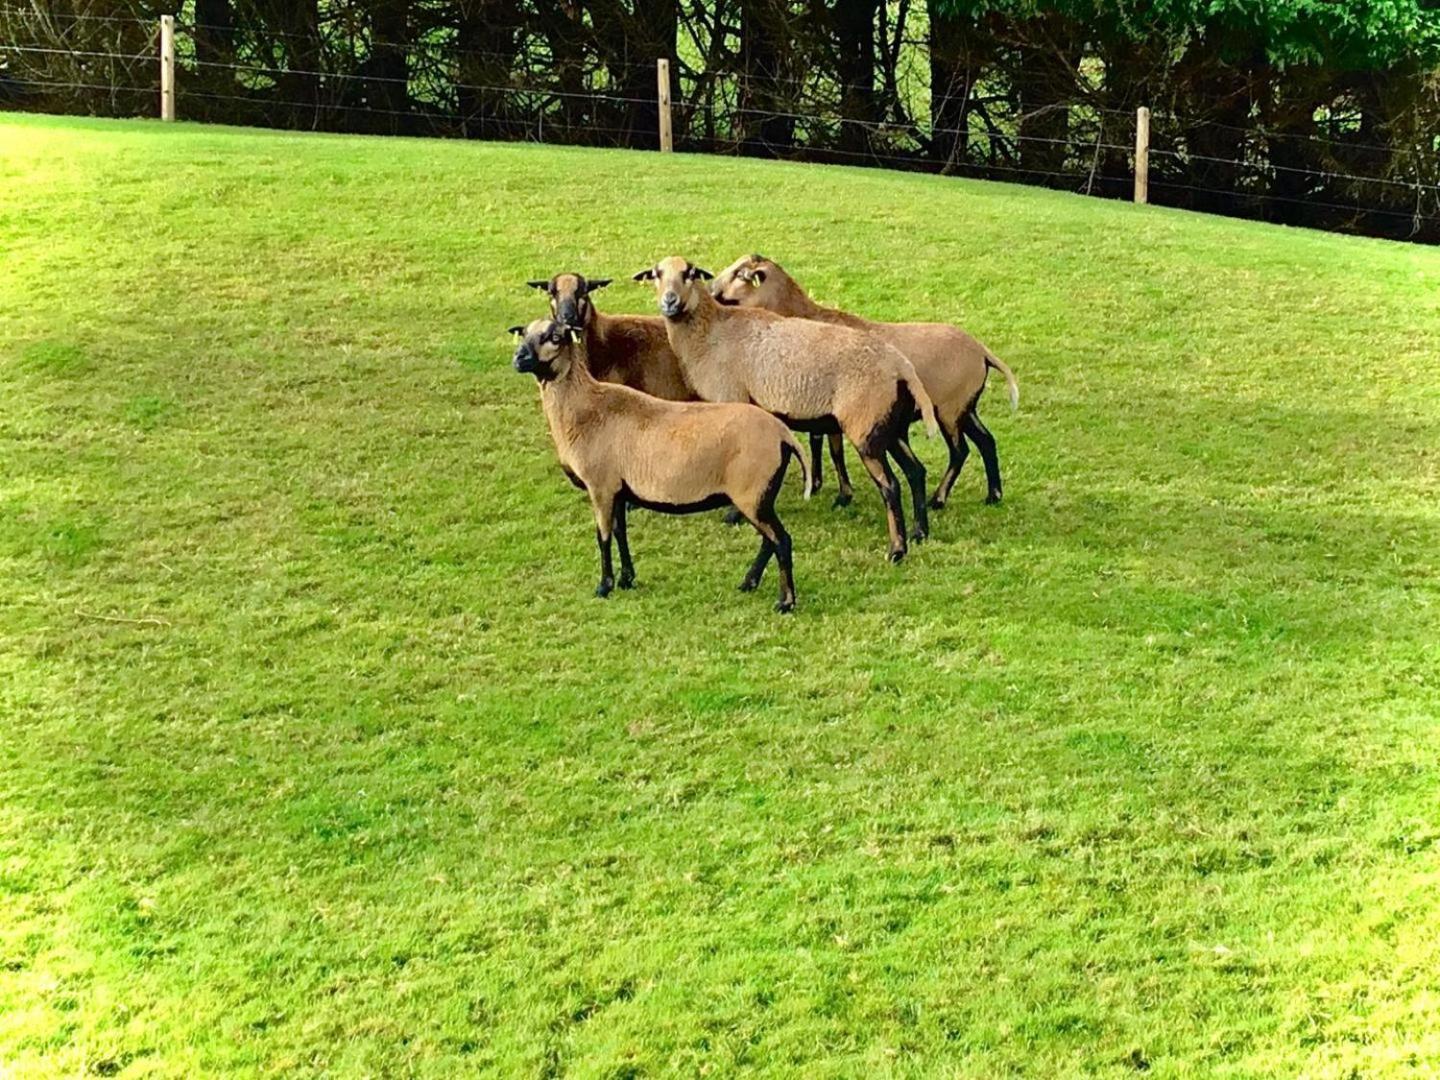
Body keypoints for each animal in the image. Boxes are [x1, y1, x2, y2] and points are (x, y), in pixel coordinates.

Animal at [509, 316, 812, 613]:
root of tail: (782, 434)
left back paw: (785, 602)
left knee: (781, 541)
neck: (583, 408)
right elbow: (620, 532)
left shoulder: (600, 486)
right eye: (523, 334)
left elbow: (603, 536)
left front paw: (604, 587)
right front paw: (626, 579)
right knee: (769, 541)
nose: (519, 357)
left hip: (753, 493)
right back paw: (749, 583)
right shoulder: (619, 490)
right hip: (759, 497)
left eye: (555, 337)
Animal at [636, 254, 938, 567]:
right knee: (916, 471)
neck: (710, 334)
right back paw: (919, 532)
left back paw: (897, 550)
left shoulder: (733, 398)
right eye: (656, 274)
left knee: (891, 486)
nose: (669, 302)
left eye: (690, 273)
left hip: (865, 428)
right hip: (889, 427)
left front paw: (733, 515)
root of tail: (901, 367)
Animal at [714, 254, 1019, 512]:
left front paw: (840, 495)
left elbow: (830, 448)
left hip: (949, 410)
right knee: (986, 440)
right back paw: (993, 495)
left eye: (739, 274)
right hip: (966, 406)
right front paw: (820, 485)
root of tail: (982, 351)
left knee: (960, 451)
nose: (712, 289)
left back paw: (939, 499)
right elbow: (822, 443)